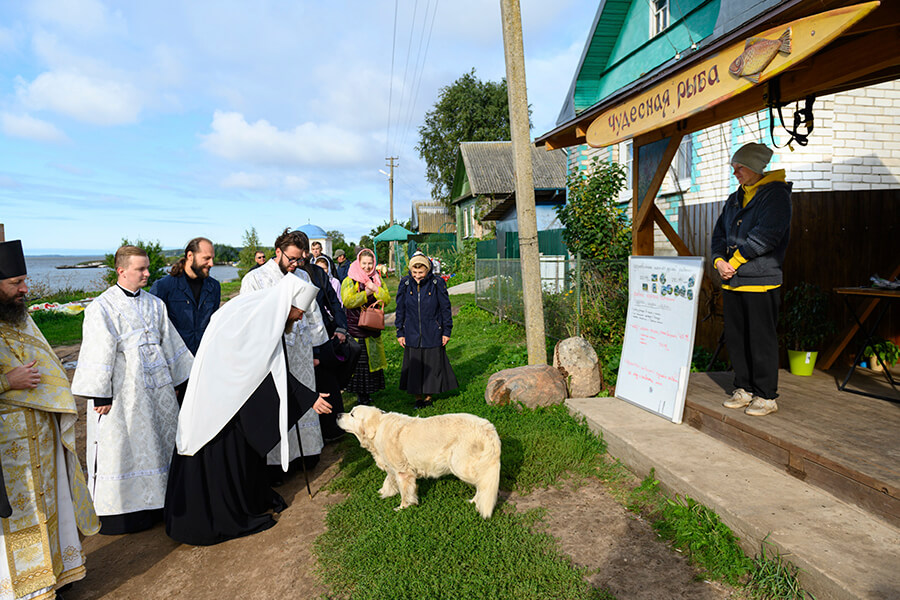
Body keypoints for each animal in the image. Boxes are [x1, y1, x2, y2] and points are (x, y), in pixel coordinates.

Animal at [340, 406, 506, 516]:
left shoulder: (403, 471)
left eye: (352, 414)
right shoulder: (393, 467)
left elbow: (405, 492)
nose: (337, 414)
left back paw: (477, 502)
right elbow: (389, 479)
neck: (378, 427)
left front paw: (403, 507)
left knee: (483, 482)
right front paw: (385, 492)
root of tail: (489, 428)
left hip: (459, 465)